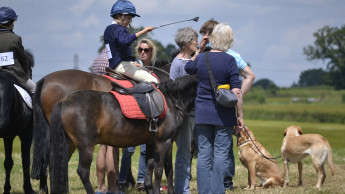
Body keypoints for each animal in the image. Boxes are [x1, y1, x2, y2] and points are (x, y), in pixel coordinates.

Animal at [48, 74, 196, 194]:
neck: (172, 101)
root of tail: (64, 102)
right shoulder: (164, 141)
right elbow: (160, 170)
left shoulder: (155, 142)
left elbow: (160, 168)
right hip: (85, 147)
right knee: (83, 172)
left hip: (69, 145)